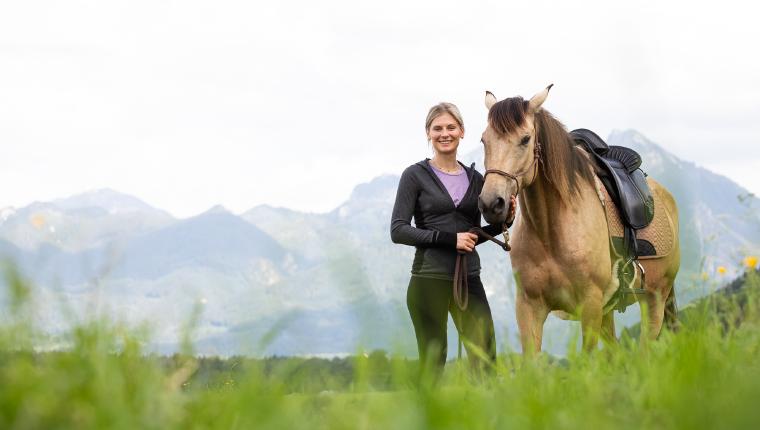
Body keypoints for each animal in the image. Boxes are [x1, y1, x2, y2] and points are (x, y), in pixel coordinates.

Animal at [478, 85, 680, 354]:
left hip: (654, 300)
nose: (492, 204)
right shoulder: (528, 307)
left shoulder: (590, 305)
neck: (549, 234)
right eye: (484, 140)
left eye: (525, 139)